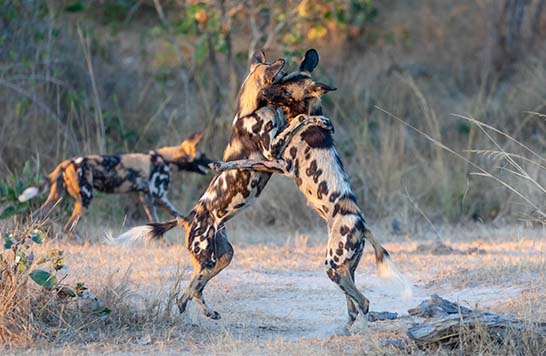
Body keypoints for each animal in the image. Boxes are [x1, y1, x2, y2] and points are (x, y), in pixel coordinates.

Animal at [17, 132, 210, 241]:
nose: (213, 162)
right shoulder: (159, 197)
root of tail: (67, 162)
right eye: (204, 156)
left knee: (35, 216)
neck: (165, 158)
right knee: (68, 227)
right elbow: (180, 215)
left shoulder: (147, 199)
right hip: (86, 198)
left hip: (56, 198)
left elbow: (154, 220)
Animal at [112, 48, 330, 318]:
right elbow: (299, 120)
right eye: (278, 75)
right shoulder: (271, 152)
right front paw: (317, 120)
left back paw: (204, 314)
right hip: (208, 256)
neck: (252, 109)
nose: (282, 61)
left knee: (191, 290)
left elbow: (294, 122)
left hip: (224, 255)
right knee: (191, 290)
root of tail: (187, 219)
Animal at [210, 49, 410, 330]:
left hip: (332, 264)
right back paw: (344, 331)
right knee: (353, 305)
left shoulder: (277, 162)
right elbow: (242, 160)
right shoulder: (272, 158)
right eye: (280, 79)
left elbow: (246, 160)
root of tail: (362, 225)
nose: (264, 92)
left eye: (284, 88)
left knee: (364, 302)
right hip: (343, 268)